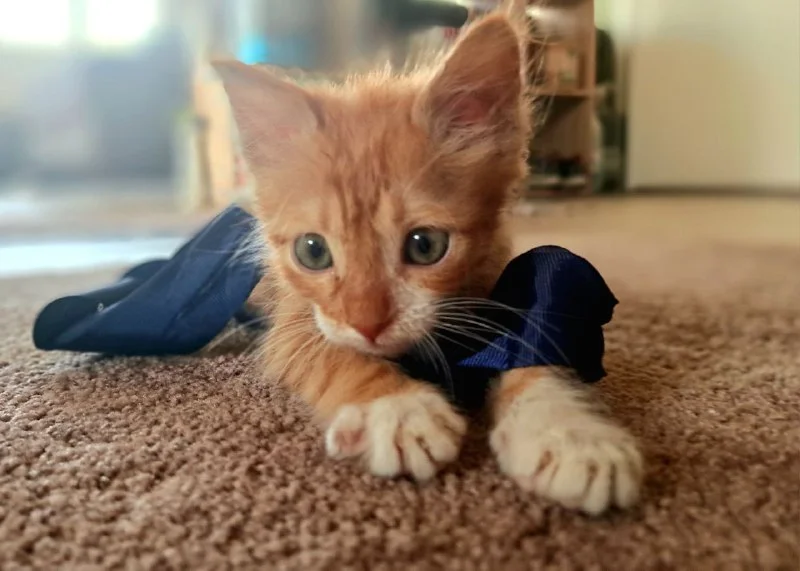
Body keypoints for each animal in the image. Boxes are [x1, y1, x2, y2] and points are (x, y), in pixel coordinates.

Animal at [213, 6, 643, 515]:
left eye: (425, 246)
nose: (368, 325)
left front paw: (568, 432)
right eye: (312, 251)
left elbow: (532, 347)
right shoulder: (293, 321)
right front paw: (396, 409)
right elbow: (330, 354)